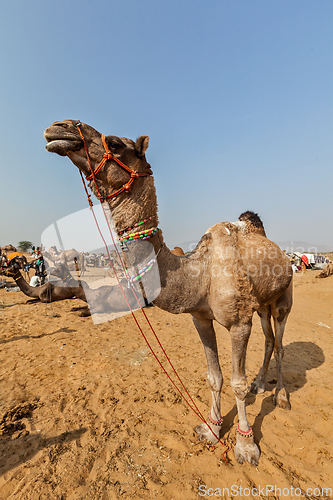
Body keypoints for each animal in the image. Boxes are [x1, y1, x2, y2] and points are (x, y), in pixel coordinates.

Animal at [42, 120, 292, 464]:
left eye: (115, 143)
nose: (60, 128)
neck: (198, 272)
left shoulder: (239, 322)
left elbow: (236, 383)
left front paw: (246, 445)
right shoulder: (200, 317)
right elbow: (214, 376)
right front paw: (213, 429)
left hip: (283, 299)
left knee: (279, 344)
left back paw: (280, 395)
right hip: (262, 304)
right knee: (269, 340)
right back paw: (260, 384)